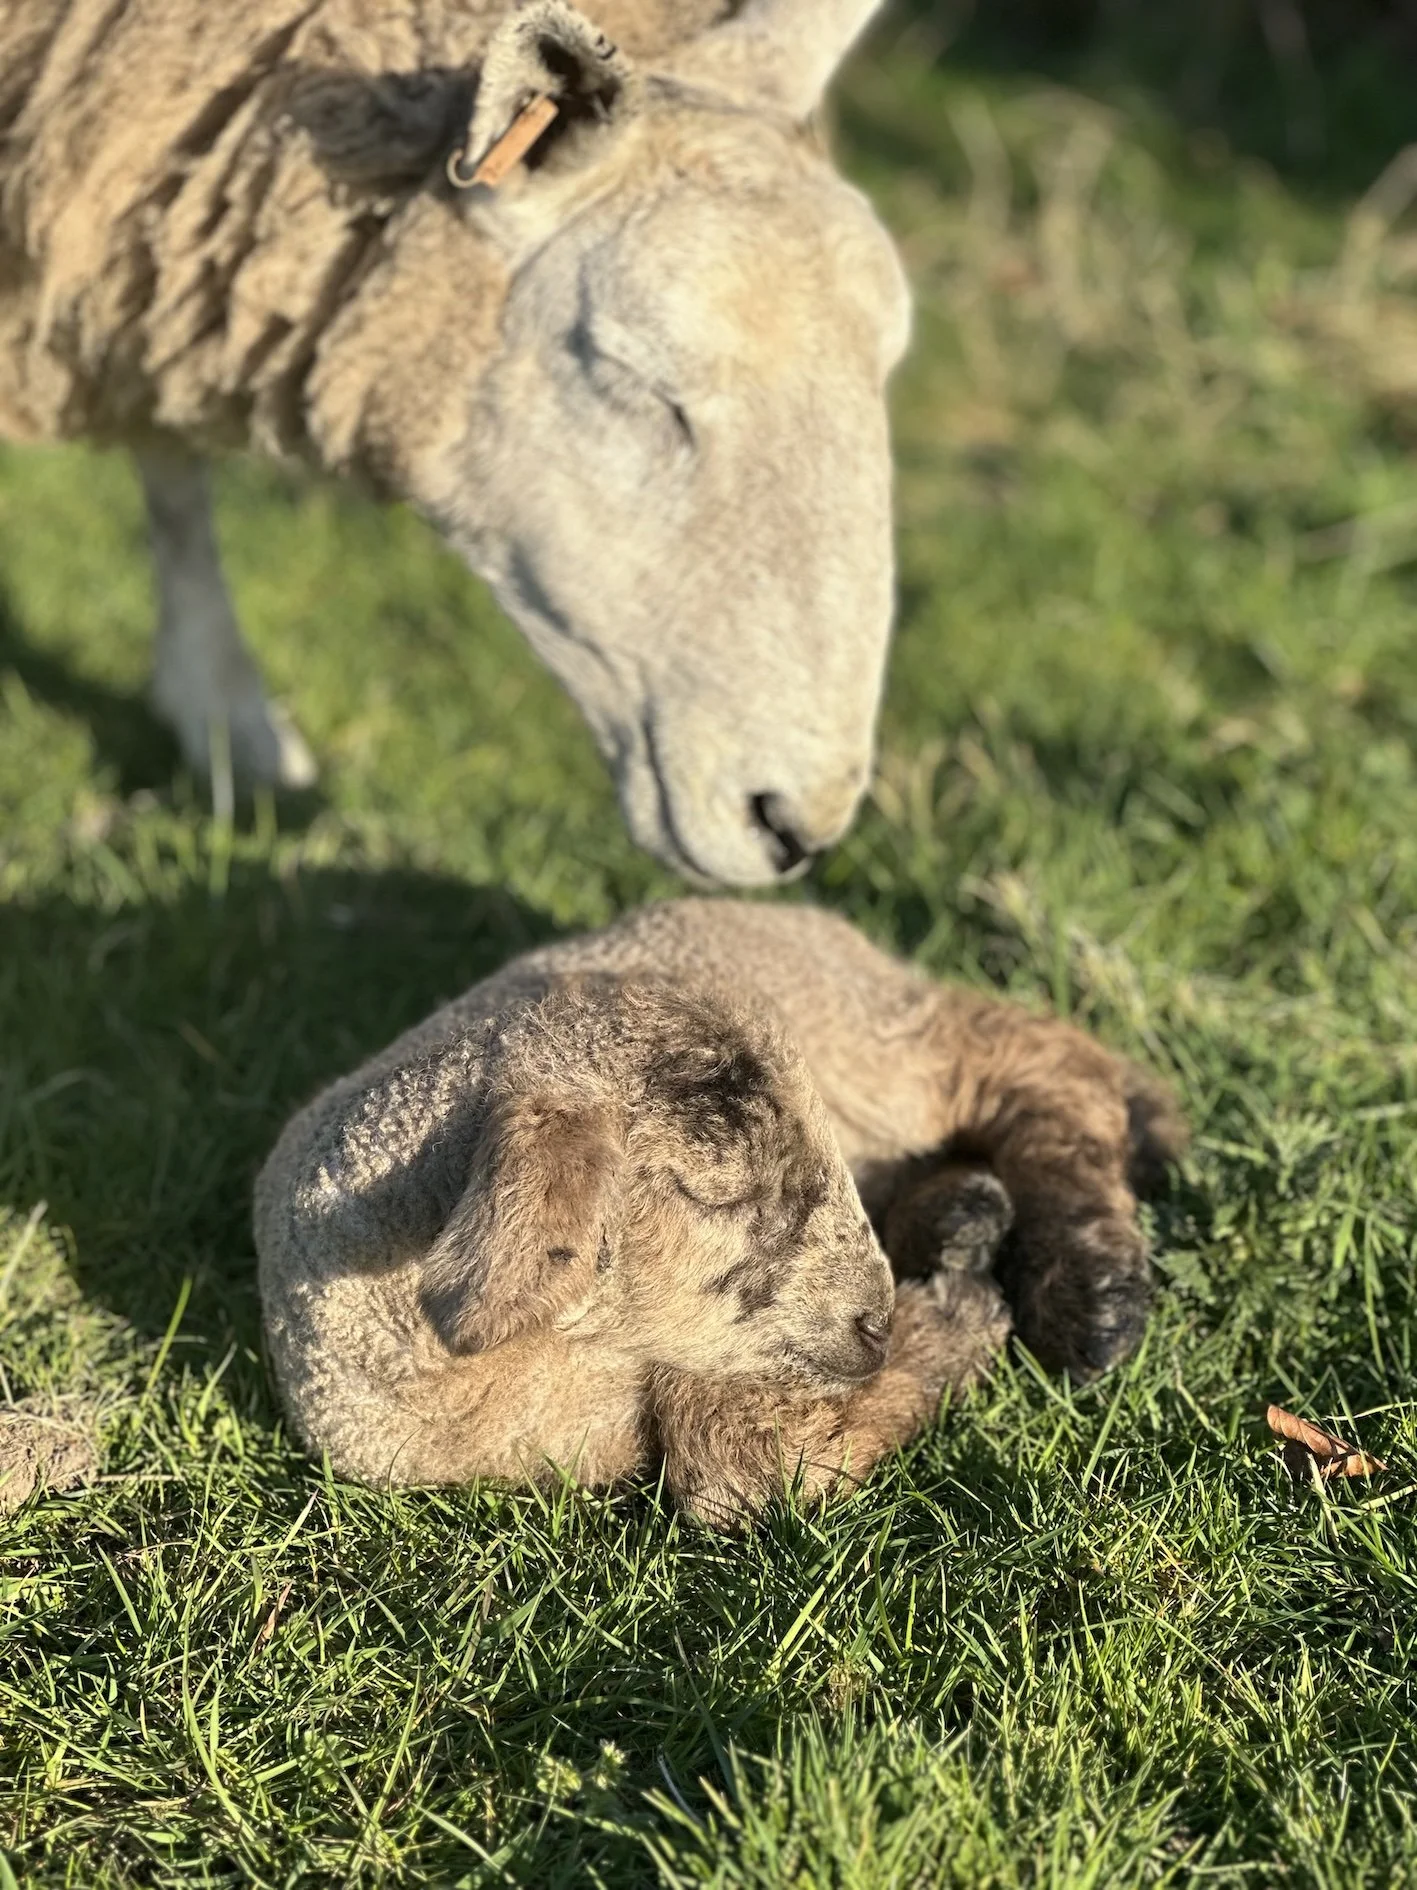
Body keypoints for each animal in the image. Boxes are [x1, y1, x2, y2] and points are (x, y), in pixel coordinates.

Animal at [255, 900, 1186, 1525]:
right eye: (716, 1191)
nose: (877, 1323)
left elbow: (745, 1466)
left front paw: (962, 1310)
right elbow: (745, 1458)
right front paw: (959, 1299)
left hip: (889, 1040)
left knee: (1046, 1064)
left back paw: (1096, 1288)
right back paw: (965, 1217)